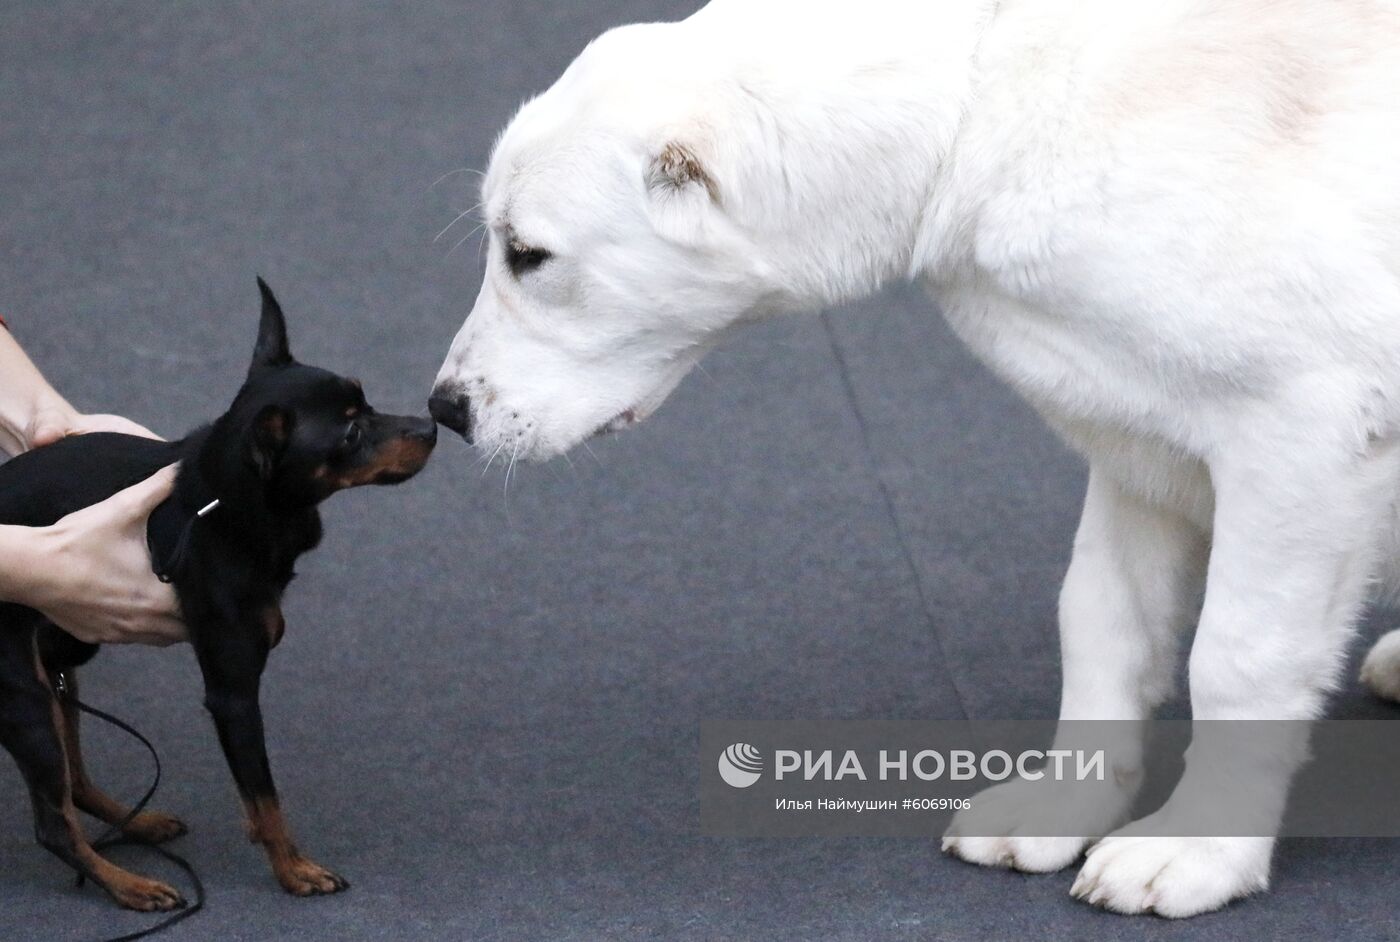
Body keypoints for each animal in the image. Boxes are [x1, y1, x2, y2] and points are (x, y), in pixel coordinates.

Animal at [0, 281, 434, 912]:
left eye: (367, 403)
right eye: (351, 434)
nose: (430, 428)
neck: (228, 504)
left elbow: (255, 796)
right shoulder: (234, 696)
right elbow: (267, 797)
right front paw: (294, 870)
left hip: (59, 660)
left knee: (73, 782)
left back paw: (138, 824)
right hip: (21, 693)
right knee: (53, 825)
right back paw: (131, 886)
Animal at [428, 0, 1400, 912]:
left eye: (529, 255)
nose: (445, 410)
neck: (979, 97)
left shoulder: (1297, 434)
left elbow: (1239, 657)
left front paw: (1201, 849)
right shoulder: (1137, 427)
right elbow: (1103, 620)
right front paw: (1064, 808)